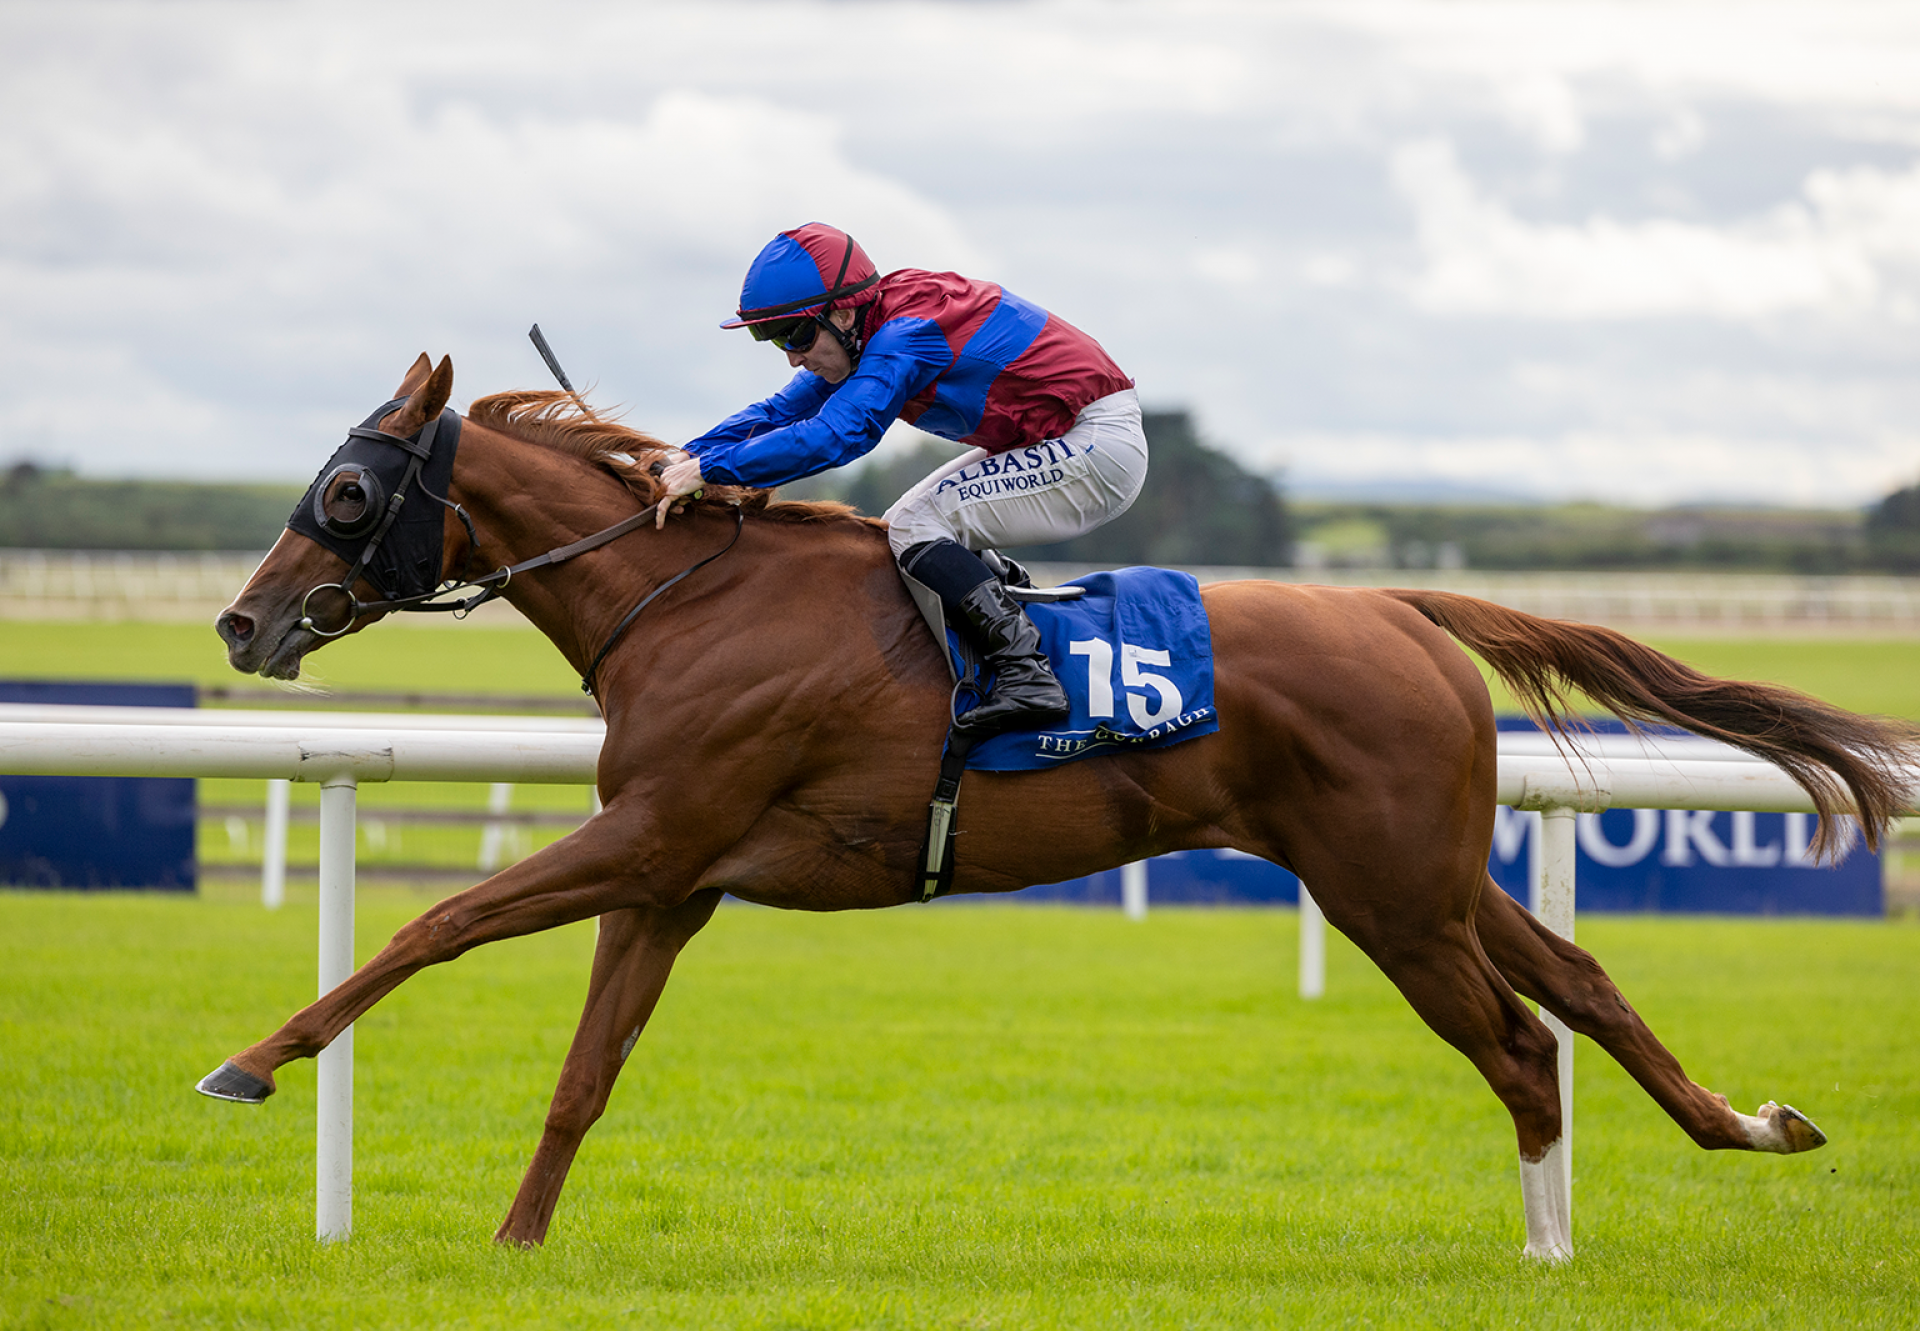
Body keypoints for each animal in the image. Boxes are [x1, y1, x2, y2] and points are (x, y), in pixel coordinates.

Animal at [202, 353, 1912, 1259]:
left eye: (347, 491)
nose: (240, 621)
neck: (684, 599)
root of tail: (1403, 605)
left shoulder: (655, 831)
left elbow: (435, 920)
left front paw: (250, 1059)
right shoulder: (670, 875)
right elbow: (582, 1069)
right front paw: (517, 1245)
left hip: (1385, 889)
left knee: (1516, 1040)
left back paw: (1551, 1244)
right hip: (1428, 869)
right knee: (1587, 987)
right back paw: (1748, 1122)